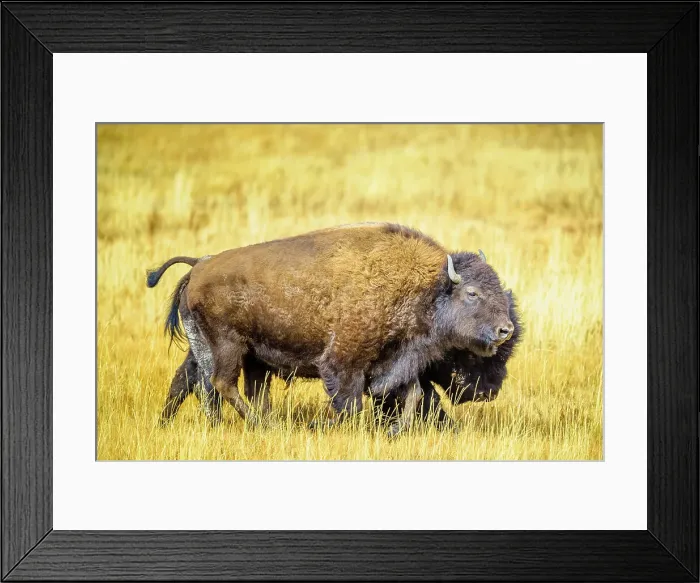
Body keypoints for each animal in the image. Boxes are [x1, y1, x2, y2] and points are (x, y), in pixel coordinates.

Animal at [148, 223, 516, 436]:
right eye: (472, 293)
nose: (506, 329)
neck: (426, 287)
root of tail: (199, 267)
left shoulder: (397, 363)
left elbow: (412, 395)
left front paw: (394, 431)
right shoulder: (344, 362)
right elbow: (350, 404)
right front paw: (319, 425)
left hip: (212, 347)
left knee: (199, 384)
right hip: (229, 344)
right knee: (220, 383)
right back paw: (265, 426)